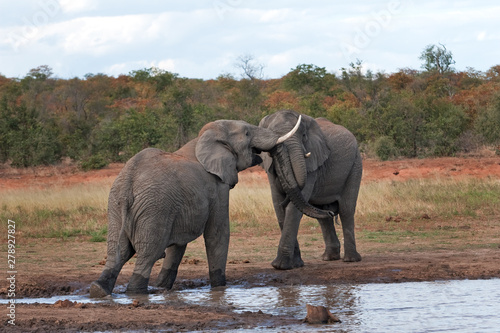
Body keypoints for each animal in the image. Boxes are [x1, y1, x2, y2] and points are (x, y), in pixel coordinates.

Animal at [90, 116, 300, 296]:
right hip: (154, 209)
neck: (205, 137)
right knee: (148, 253)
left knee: (116, 250)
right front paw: (219, 288)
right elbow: (217, 232)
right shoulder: (217, 186)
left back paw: (98, 290)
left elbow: (178, 244)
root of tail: (128, 183)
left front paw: (162, 287)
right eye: (247, 133)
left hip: (117, 206)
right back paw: (136, 292)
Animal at [258, 109, 364, 270]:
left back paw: (351, 259)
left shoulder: (312, 163)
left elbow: (292, 209)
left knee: (346, 209)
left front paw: (281, 266)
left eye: (303, 136)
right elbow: (278, 206)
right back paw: (329, 257)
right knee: (322, 216)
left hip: (355, 165)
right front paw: (295, 264)